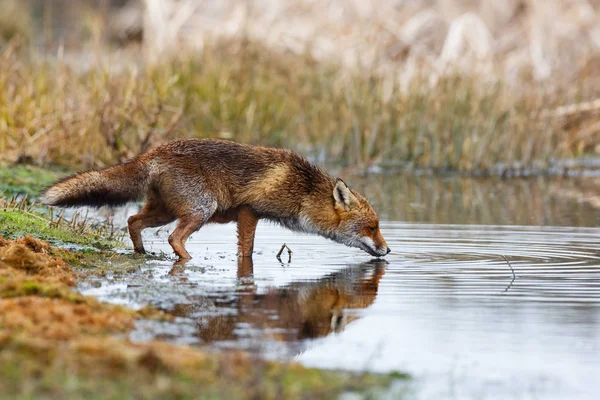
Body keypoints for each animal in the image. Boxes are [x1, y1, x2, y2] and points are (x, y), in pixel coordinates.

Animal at [41, 140, 390, 260]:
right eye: (372, 228)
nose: (388, 250)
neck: (302, 190)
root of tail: (153, 152)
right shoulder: (250, 211)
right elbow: (246, 252)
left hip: (166, 212)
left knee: (132, 220)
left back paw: (141, 253)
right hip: (200, 210)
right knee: (173, 238)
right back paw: (187, 260)